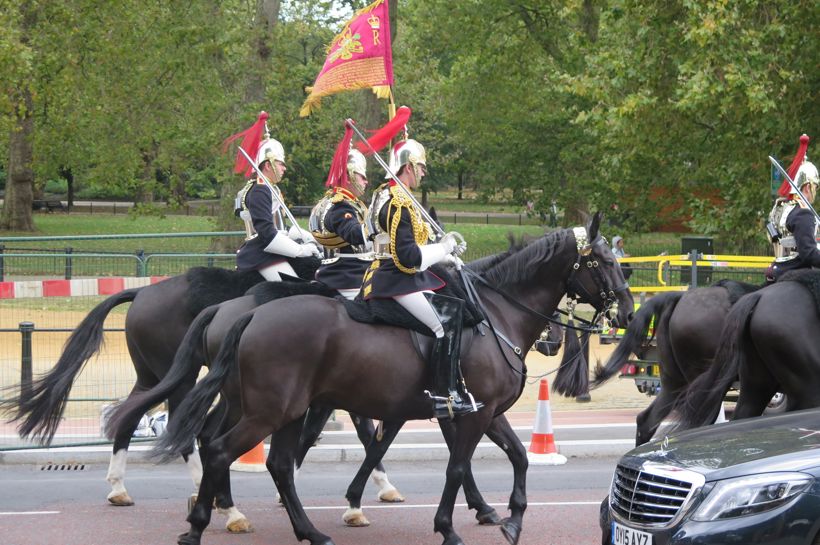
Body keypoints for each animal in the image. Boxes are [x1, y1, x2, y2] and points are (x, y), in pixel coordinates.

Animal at [149, 216, 636, 544]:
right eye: (603, 261)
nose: (629, 314)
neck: (494, 314)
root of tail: (247, 311)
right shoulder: (468, 414)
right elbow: (456, 465)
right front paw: (449, 526)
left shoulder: (482, 411)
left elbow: (517, 456)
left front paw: (511, 518)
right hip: (268, 411)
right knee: (221, 450)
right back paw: (205, 524)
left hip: (277, 409)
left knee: (275, 462)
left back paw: (300, 529)